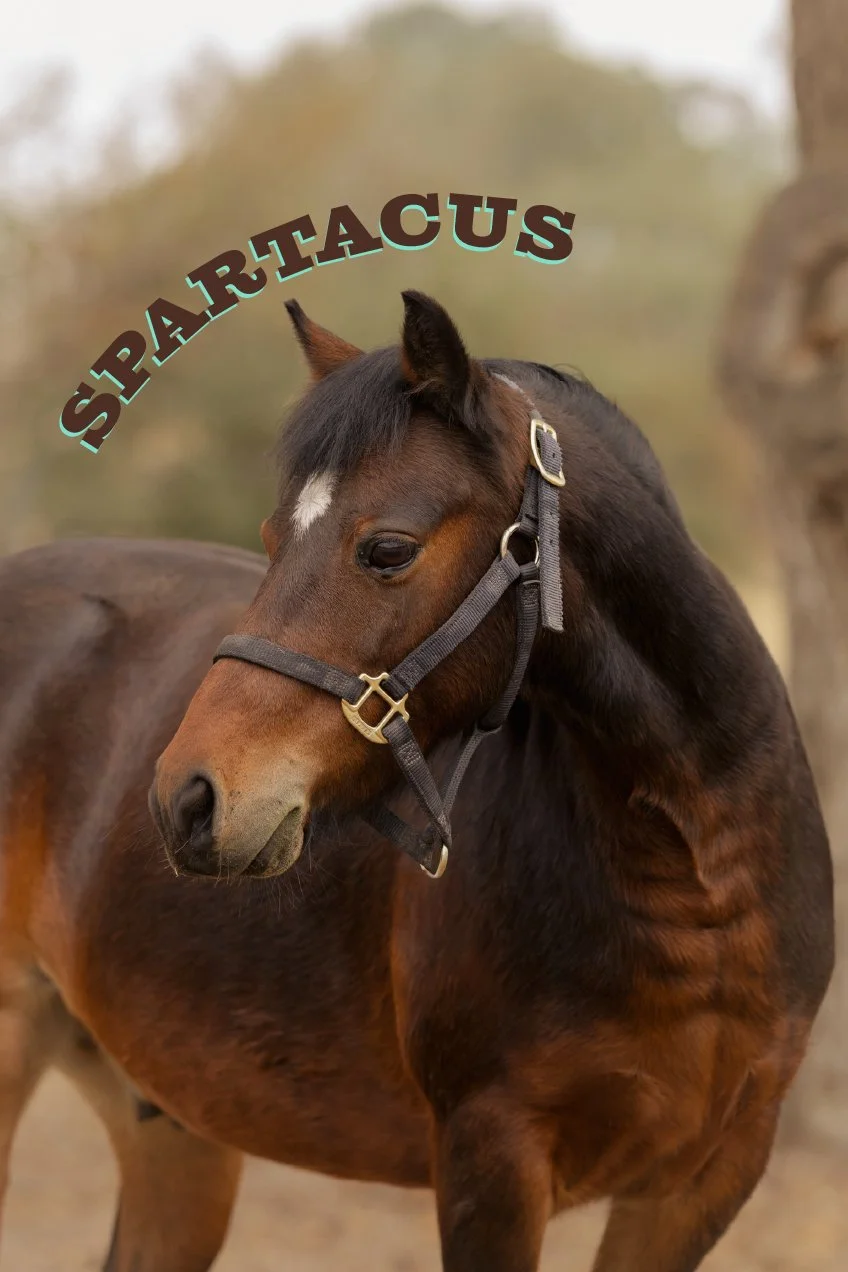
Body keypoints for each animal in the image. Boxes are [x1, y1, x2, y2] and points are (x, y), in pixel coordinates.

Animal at [0, 289, 834, 1272]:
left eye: (388, 550)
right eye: (272, 539)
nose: (187, 800)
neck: (697, 878)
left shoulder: (703, 1180)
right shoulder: (491, 1159)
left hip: (171, 1122)